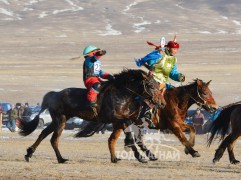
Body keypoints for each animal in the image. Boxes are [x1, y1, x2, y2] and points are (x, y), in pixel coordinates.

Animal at [19, 69, 166, 163]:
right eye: (151, 85)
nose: (162, 103)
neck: (122, 95)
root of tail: (54, 94)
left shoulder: (122, 121)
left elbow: (125, 136)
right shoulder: (116, 119)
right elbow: (128, 135)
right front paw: (140, 155)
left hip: (56, 121)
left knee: (43, 134)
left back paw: (29, 153)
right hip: (61, 121)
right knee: (54, 139)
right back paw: (61, 159)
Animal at [78, 79, 218, 162]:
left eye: (210, 92)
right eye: (204, 92)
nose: (215, 108)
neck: (176, 101)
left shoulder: (180, 123)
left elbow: (193, 129)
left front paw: (189, 149)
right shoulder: (173, 126)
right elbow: (183, 138)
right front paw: (193, 152)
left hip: (126, 125)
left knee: (117, 140)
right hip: (123, 124)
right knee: (125, 140)